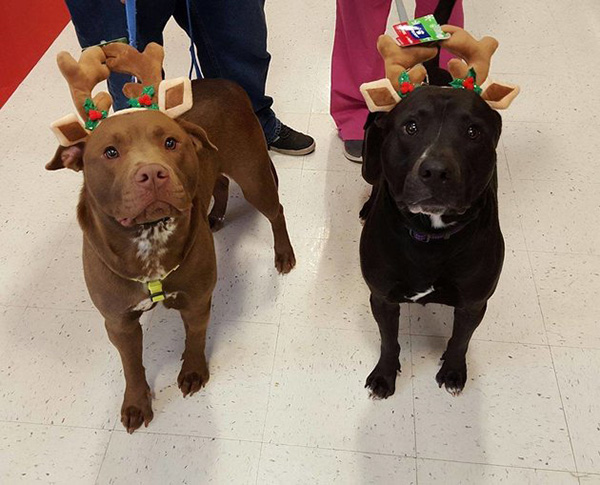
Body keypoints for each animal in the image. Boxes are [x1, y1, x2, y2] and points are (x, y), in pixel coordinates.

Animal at [47, 77, 296, 432]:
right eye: (110, 152)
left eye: (170, 142)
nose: (152, 173)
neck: (149, 239)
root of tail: (225, 82)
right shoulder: (119, 323)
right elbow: (131, 365)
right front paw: (136, 403)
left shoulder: (196, 300)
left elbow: (195, 338)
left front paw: (193, 372)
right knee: (219, 182)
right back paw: (215, 215)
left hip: (253, 177)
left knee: (276, 211)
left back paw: (283, 254)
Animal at [358, 86, 504, 398]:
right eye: (410, 127)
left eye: (473, 131)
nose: (436, 171)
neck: (431, 237)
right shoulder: (382, 298)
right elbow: (388, 340)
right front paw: (385, 375)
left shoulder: (474, 304)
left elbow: (460, 340)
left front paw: (453, 371)